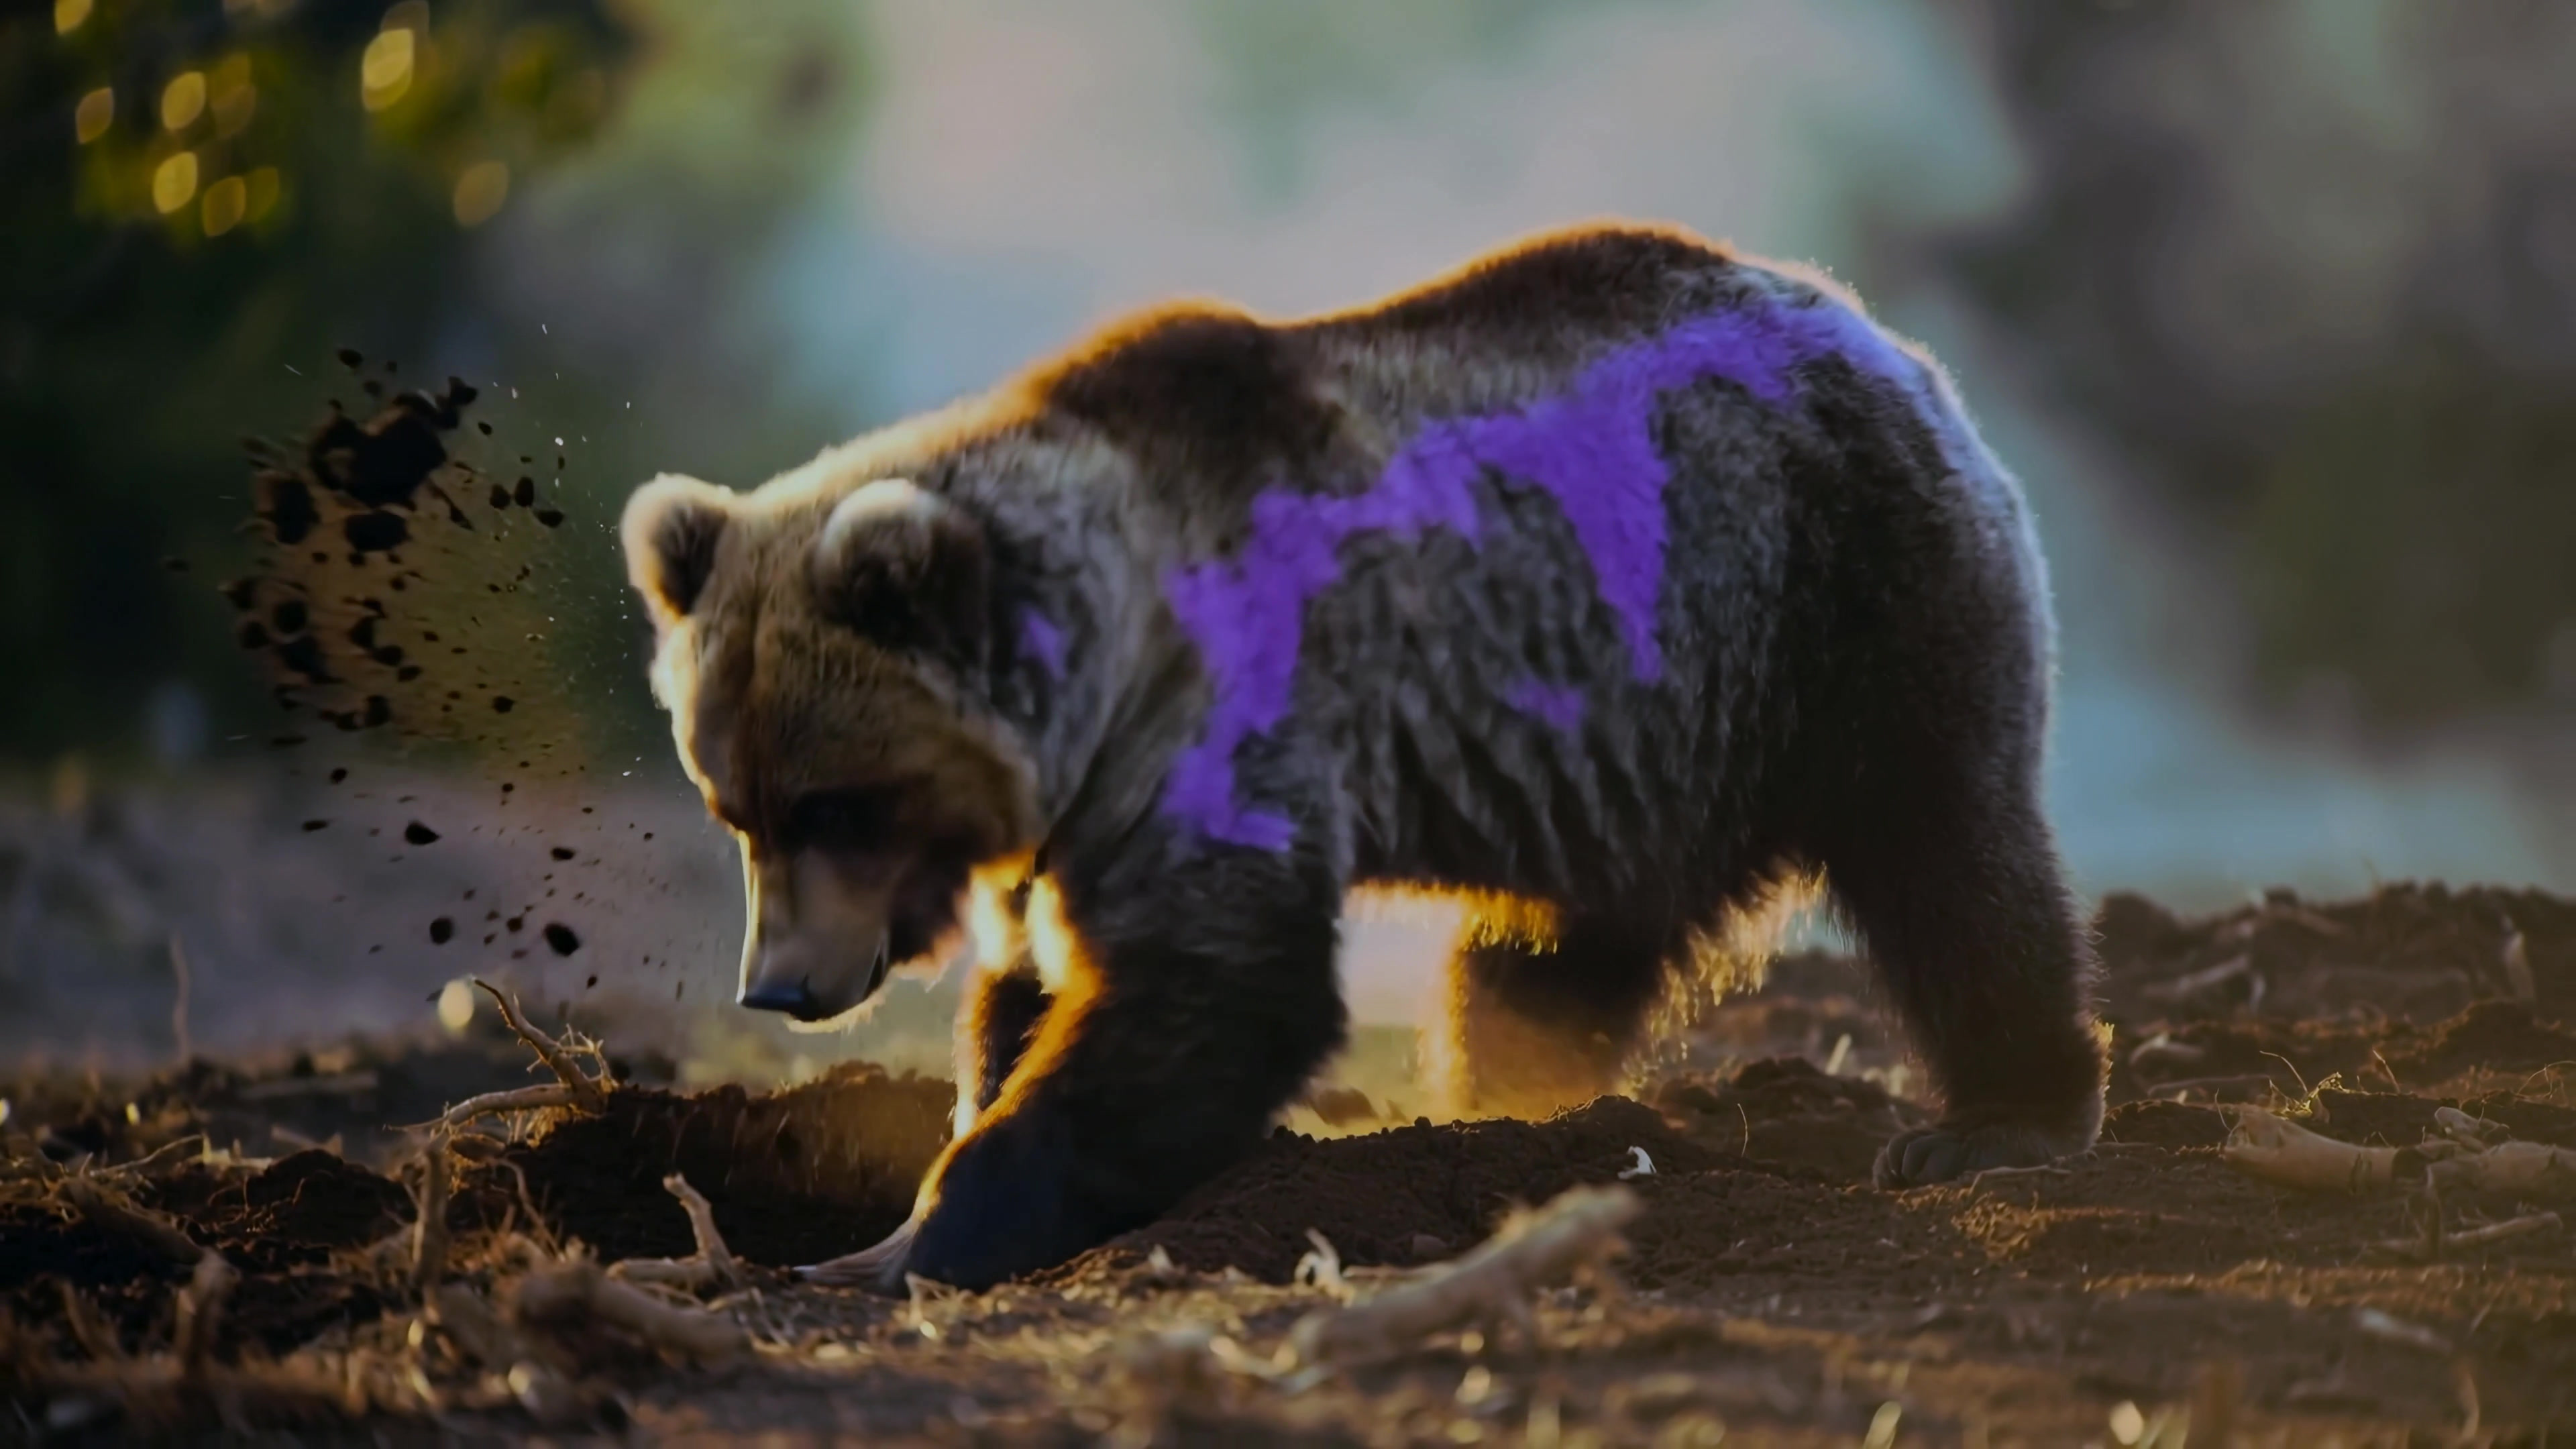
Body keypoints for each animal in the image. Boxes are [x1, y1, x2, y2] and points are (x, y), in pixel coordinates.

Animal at [618, 221, 2109, 1292]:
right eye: (735, 806)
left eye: (839, 803)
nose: (780, 988)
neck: (1100, 675)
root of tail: (1886, 341)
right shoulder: (1071, 823)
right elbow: (1039, 988)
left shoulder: (1221, 732)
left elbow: (1212, 995)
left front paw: (914, 1244)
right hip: (1641, 745)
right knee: (1539, 964)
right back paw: (1519, 1104)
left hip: (1846, 609)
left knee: (1955, 864)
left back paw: (1994, 1121)